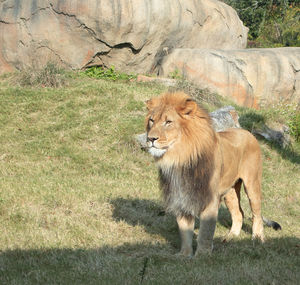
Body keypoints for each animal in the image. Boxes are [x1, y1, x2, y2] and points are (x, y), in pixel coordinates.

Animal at [146, 92, 282, 256]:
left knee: (256, 213)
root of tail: (246, 131)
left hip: (252, 184)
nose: (150, 138)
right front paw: (184, 255)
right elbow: (184, 230)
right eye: (152, 120)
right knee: (239, 213)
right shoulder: (181, 196)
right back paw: (230, 237)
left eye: (168, 122)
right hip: (230, 191)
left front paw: (202, 256)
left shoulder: (210, 199)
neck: (180, 158)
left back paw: (257, 238)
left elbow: (205, 231)